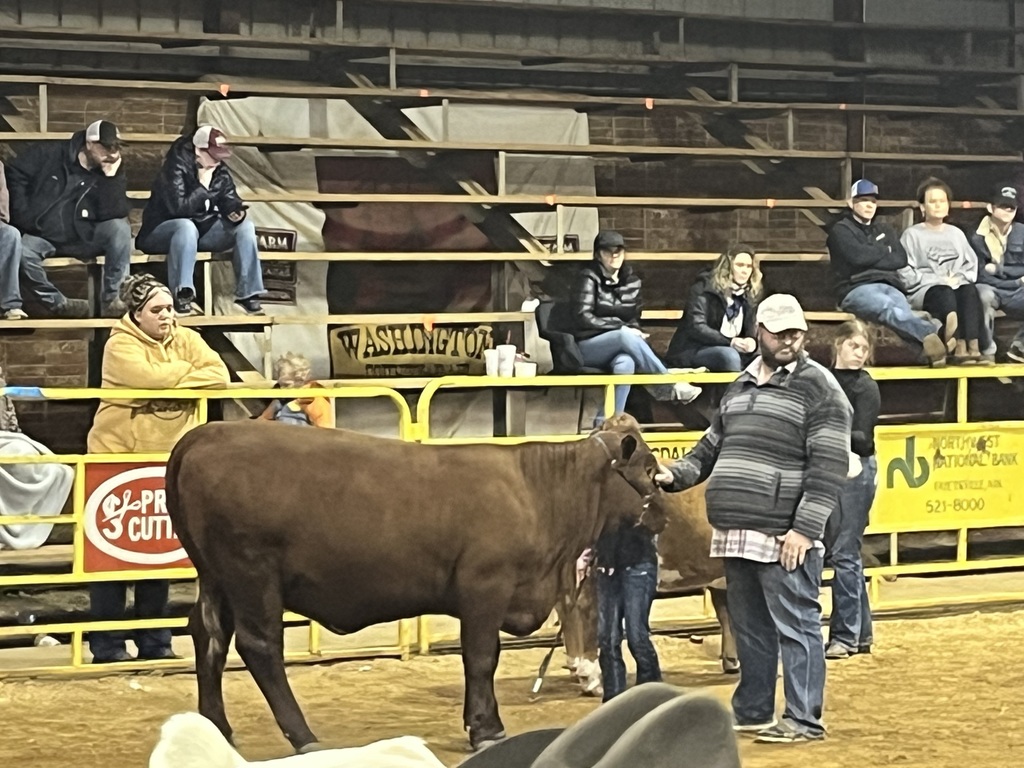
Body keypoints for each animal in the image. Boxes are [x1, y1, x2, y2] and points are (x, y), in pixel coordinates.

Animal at [163, 415, 659, 753]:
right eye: (651, 471)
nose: (663, 516)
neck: (539, 490)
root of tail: (206, 434)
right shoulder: (485, 588)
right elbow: (482, 658)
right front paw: (486, 728)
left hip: (217, 579)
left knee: (208, 637)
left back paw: (217, 729)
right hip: (251, 574)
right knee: (260, 646)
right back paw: (303, 736)